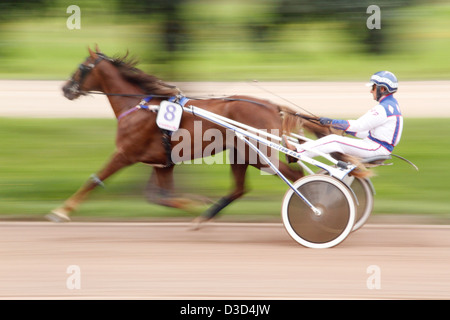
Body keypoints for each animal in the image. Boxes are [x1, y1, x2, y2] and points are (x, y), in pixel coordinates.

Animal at [46, 46, 334, 224]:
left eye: (81, 67)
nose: (65, 88)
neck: (139, 105)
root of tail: (273, 106)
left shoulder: (125, 154)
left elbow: (93, 180)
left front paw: (61, 211)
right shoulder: (162, 163)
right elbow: (161, 198)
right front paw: (195, 203)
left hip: (258, 155)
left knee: (295, 176)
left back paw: (314, 208)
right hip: (242, 153)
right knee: (241, 188)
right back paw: (203, 218)